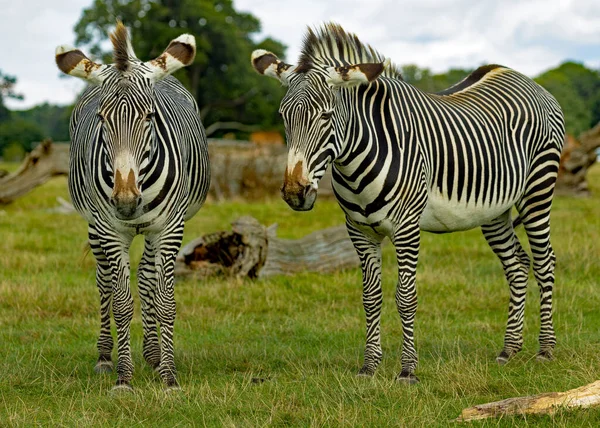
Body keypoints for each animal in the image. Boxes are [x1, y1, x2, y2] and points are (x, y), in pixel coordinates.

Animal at [55, 24, 211, 392]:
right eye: (101, 118)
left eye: (150, 116)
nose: (126, 201)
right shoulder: (110, 230)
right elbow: (121, 301)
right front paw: (124, 377)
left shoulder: (170, 229)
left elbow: (164, 299)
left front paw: (169, 376)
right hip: (95, 227)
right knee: (104, 283)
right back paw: (104, 357)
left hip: (153, 232)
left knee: (146, 279)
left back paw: (153, 355)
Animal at [251, 23, 564, 382]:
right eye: (284, 116)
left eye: (326, 116)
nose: (295, 192)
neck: (355, 159)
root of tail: (522, 77)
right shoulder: (359, 231)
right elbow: (370, 297)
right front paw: (369, 367)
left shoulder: (406, 229)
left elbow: (406, 297)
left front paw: (407, 370)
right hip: (495, 210)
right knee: (516, 265)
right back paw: (509, 349)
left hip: (538, 189)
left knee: (545, 262)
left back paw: (545, 350)